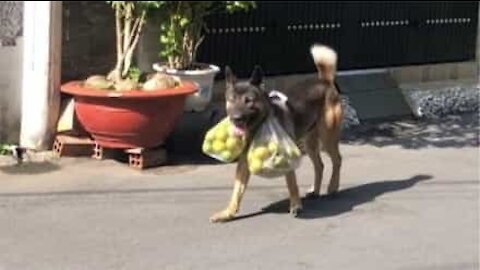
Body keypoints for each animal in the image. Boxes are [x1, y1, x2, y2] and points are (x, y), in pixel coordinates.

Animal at [210, 43, 342, 221]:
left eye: (248, 101)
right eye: (231, 100)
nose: (236, 118)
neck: (259, 125)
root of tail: (325, 81)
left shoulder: (287, 158)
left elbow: (292, 184)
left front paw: (295, 206)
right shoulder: (243, 164)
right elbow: (237, 191)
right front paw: (228, 213)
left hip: (327, 137)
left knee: (337, 160)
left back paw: (333, 186)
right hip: (309, 142)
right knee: (320, 165)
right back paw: (315, 190)